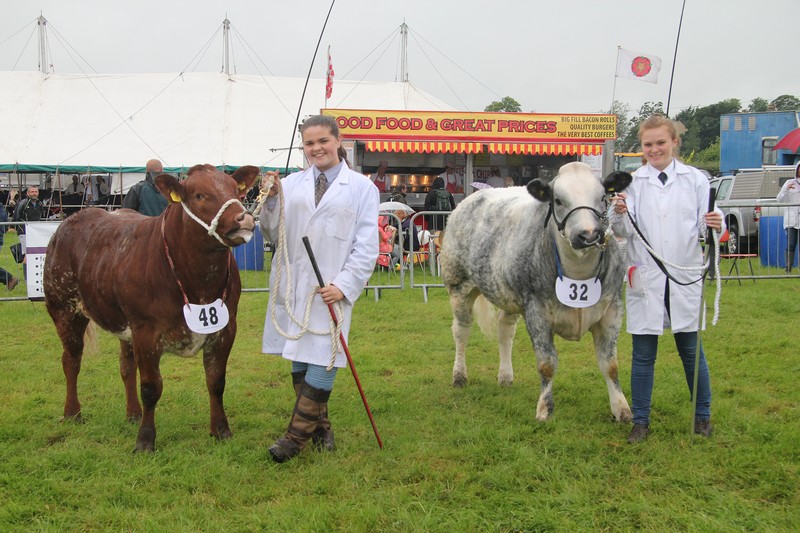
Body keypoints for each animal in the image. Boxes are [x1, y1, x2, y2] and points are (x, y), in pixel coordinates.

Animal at [43, 164, 258, 450]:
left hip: (122, 324)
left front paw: (221, 430)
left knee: (125, 366)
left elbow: (216, 382)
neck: (199, 284)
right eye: (199, 195)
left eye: (236, 190)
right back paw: (72, 412)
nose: (243, 219)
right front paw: (145, 440)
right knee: (71, 360)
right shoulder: (146, 331)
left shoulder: (225, 328)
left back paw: (132, 413)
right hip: (64, 309)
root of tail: (72, 220)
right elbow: (151, 387)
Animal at [440, 164, 636, 422]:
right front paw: (544, 409)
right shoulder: (537, 312)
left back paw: (505, 376)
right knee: (461, 331)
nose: (589, 235)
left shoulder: (612, 310)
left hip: (508, 293)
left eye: (603, 197)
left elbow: (610, 365)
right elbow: (547, 364)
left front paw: (622, 410)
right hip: (458, 286)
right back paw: (459, 376)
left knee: (505, 330)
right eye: (558, 200)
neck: (578, 272)